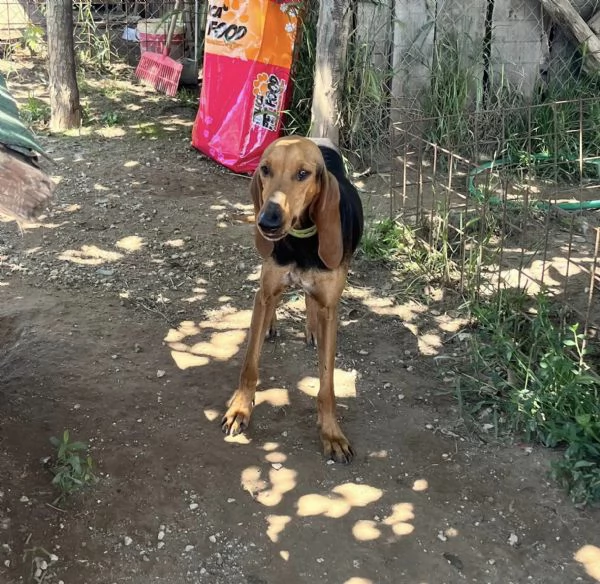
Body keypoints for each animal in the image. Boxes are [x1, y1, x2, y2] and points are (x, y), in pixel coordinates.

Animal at [220, 135, 360, 464]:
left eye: (303, 174)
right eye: (265, 169)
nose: (267, 221)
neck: (299, 242)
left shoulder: (330, 309)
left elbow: (327, 385)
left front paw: (332, 433)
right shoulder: (266, 291)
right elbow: (250, 364)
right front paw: (240, 408)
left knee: (310, 302)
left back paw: (311, 329)